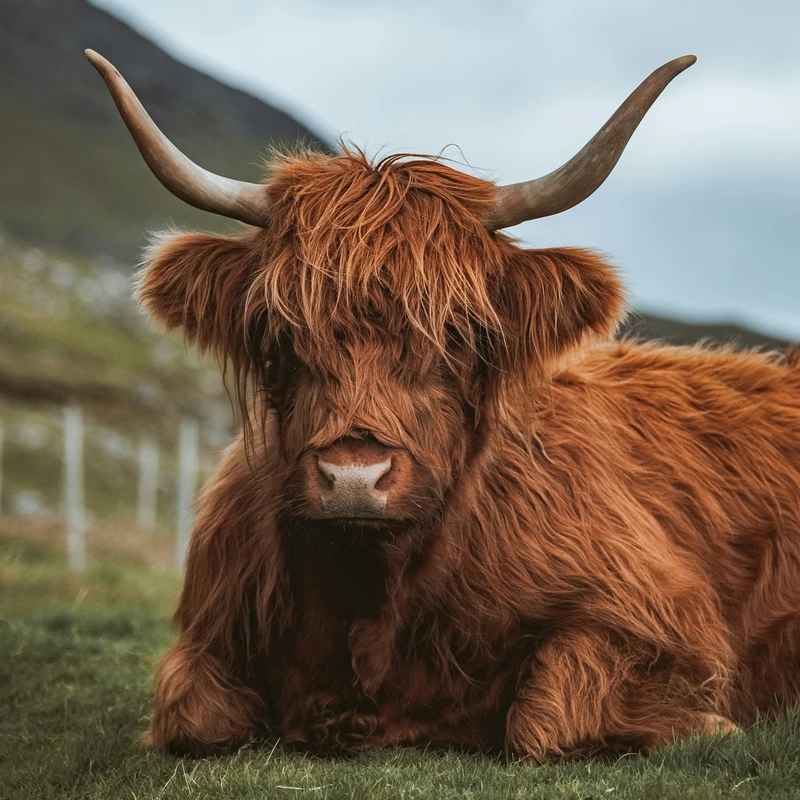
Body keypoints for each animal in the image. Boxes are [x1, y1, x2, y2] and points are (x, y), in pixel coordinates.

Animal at [87, 50, 800, 761]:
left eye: (458, 332)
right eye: (280, 333)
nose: (355, 477)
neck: (372, 601)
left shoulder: (654, 611)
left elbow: (545, 717)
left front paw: (709, 722)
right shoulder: (210, 629)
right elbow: (196, 716)